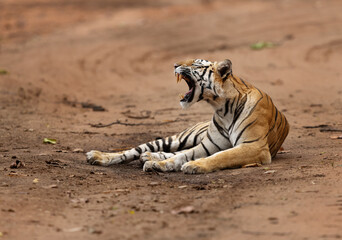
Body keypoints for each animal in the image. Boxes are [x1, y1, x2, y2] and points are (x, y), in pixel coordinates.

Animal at [87, 58, 290, 173]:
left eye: (195, 64)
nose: (175, 65)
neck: (222, 108)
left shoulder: (253, 146)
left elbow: (220, 156)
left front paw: (194, 165)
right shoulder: (209, 145)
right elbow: (182, 156)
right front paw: (164, 165)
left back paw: (149, 158)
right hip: (180, 137)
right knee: (134, 150)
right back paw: (98, 156)